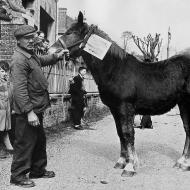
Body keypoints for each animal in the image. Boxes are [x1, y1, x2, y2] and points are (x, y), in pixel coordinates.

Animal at [49, 11, 190, 176]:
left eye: (70, 33)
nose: (50, 51)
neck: (116, 70)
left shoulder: (125, 108)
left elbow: (128, 133)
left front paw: (130, 167)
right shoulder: (115, 109)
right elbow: (120, 133)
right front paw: (122, 162)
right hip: (183, 104)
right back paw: (183, 163)